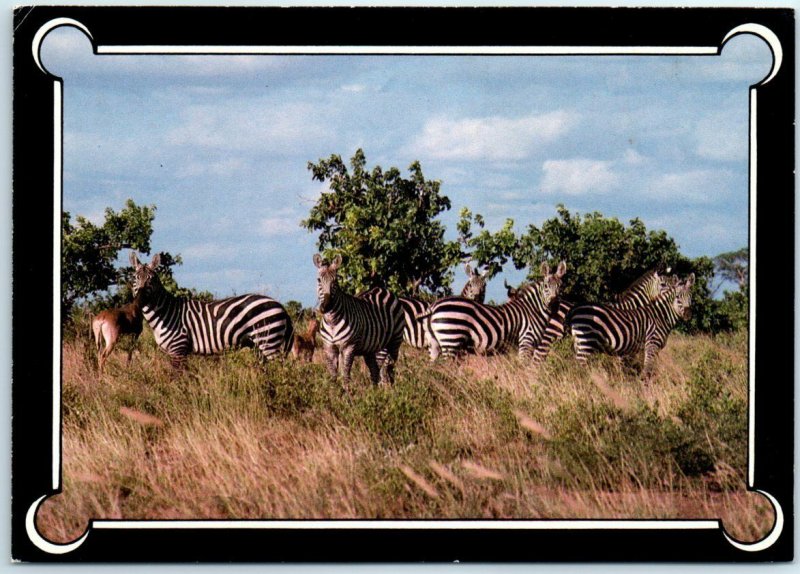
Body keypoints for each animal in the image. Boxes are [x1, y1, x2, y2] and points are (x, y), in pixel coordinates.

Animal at [130, 254, 296, 372]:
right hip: (260, 346)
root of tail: (280, 306)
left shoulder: (178, 348)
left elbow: (176, 379)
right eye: (135, 278)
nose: (139, 300)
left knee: (279, 372)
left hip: (269, 341)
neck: (166, 313)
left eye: (151, 279)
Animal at [314, 255, 406, 388]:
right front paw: (333, 392)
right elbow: (333, 376)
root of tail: (384, 289)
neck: (332, 322)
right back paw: (374, 391)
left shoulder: (349, 347)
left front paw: (346, 393)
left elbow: (346, 375)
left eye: (335, 281)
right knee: (375, 370)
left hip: (395, 341)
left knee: (390, 368)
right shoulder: (329, 347)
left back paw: (394, 391)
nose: (326, 307)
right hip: (371, 348)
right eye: (319, 280)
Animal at [422, 264, 564, 362]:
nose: (555, 303)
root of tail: (434, 305)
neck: (532, 310)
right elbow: (525, 368)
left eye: (560, 286)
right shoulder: (526, 342)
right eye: (546, 286)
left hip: (434, 344)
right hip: (450, 339)